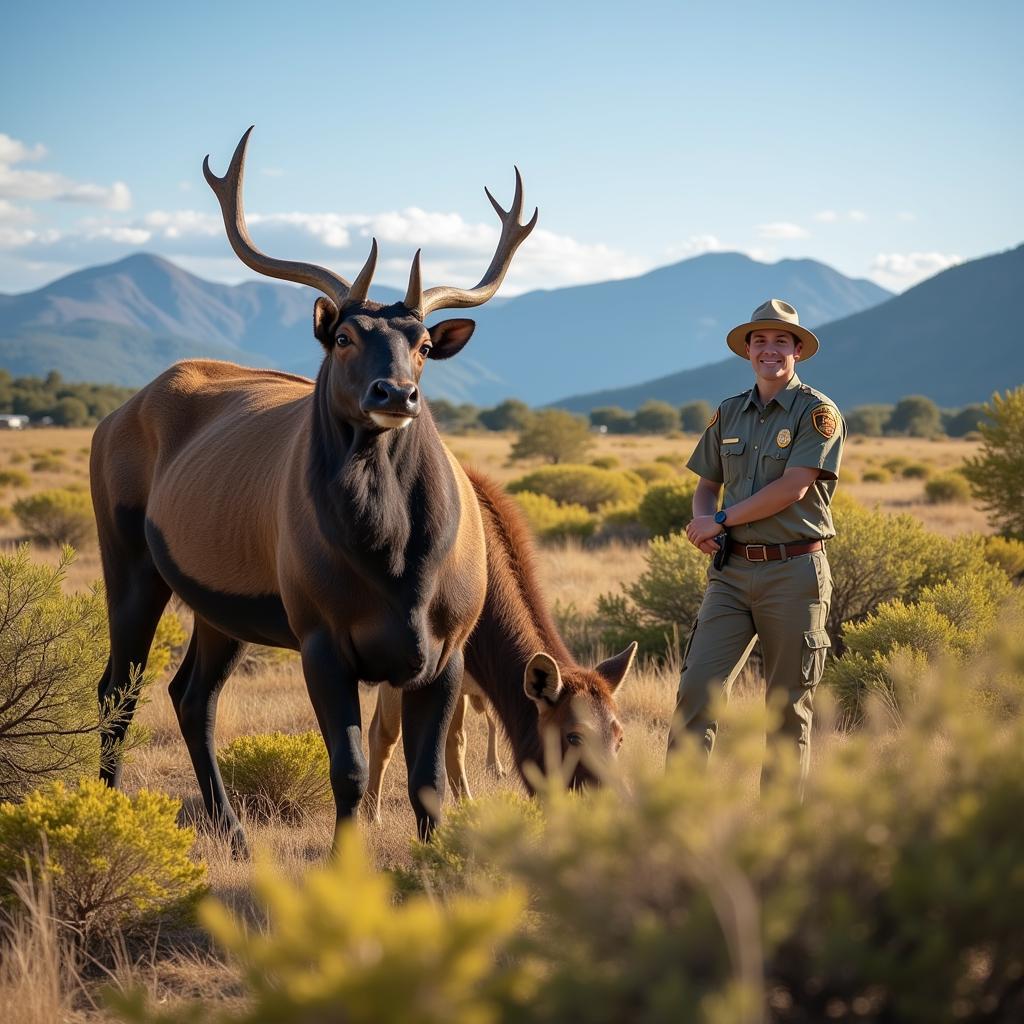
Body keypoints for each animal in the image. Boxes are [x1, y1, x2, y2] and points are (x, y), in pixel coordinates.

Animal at [90, 128, 536, 843]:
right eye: (345, 335)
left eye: (423, 345)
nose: (395, 394)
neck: (399, 564)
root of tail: (112, 418)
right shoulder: (321, 640)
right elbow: (348, 772)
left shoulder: (447, 652)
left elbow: (429, 780)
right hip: (128, 557)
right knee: (118, 688)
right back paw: (109, 809)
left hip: (220, 605)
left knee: (190, 694)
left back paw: (232, 829)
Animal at [364, 464, 634, 815]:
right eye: (573, 737)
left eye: (620, 737)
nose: (619, 804)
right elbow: (388, 736)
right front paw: (370, 816)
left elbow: (455, 742)